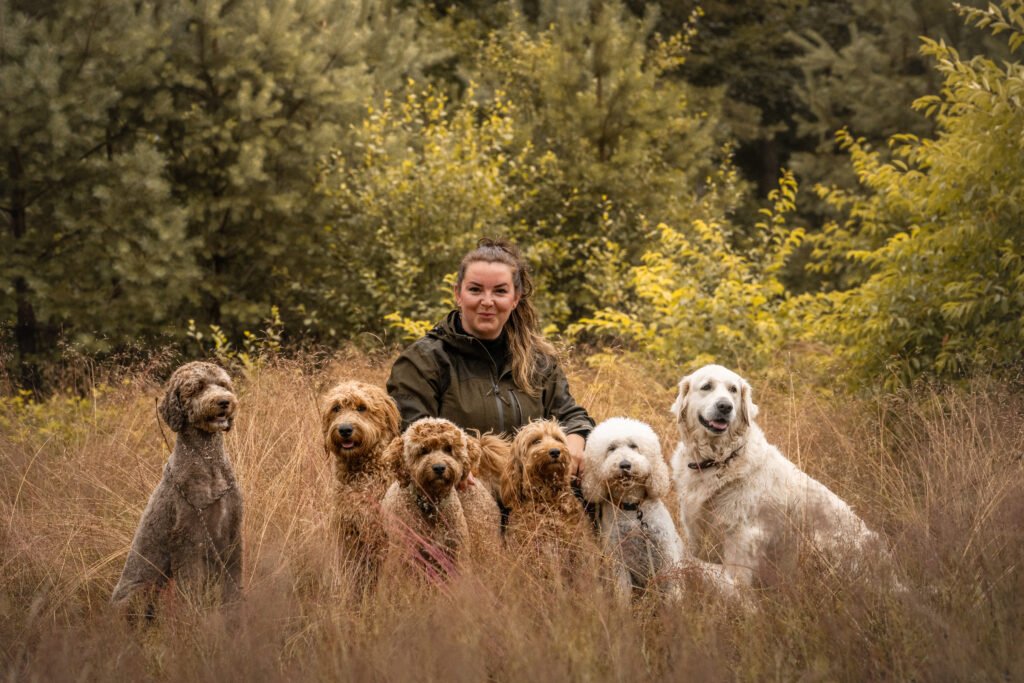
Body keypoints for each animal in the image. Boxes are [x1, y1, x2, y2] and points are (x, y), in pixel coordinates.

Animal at [110, 362, 243, 614]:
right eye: (198, 387)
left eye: (223, 384)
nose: (224, 402)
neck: (209, 462)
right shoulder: (188, 539)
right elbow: (191, 585)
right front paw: (195, 614)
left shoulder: (232, 532)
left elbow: (234, 579)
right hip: (139, 591)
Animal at [671, 362, 897, 589]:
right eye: (706, 387)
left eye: (733, 390)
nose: (725, 406)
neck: (719, 459)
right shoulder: (694, 526)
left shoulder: (743, 534)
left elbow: (736, 578)